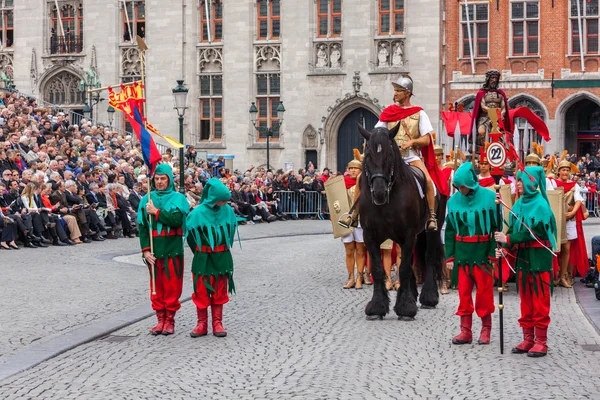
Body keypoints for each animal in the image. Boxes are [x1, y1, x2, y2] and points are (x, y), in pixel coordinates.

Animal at [356, 123, 446, 320]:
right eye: (368, 155)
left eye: (389, 155)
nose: (379, 192)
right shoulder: (369, 236)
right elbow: (379, 269)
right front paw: (377, 307)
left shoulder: (409, 234)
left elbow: (404, 267)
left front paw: (406, 308)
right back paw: (412, 293)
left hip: (431, 231)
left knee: (428, 257)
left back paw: (428, 297)